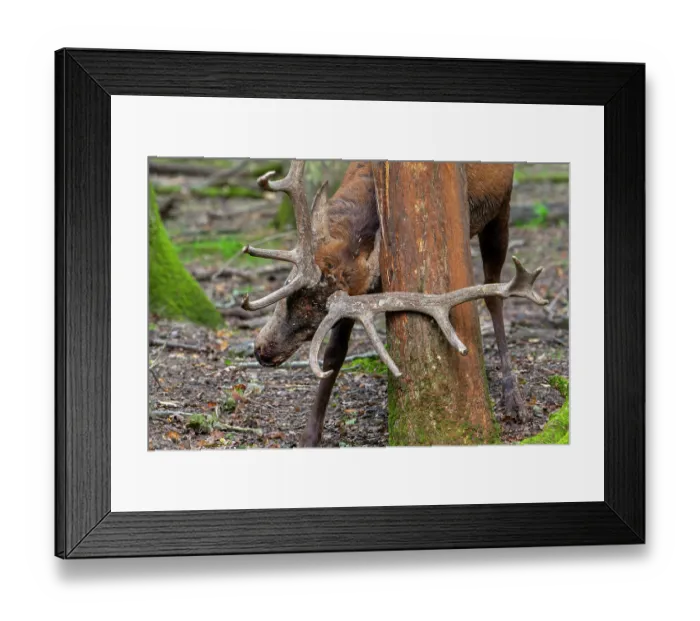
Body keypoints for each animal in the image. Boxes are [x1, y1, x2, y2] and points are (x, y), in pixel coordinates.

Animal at [241, 160, 547, 447]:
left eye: (319, 314)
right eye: (287, 285)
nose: (263, 351)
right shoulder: (357, 294)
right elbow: (335, 354)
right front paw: (309, 437)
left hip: (502, 209)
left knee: (494, 294)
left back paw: (514, 399)